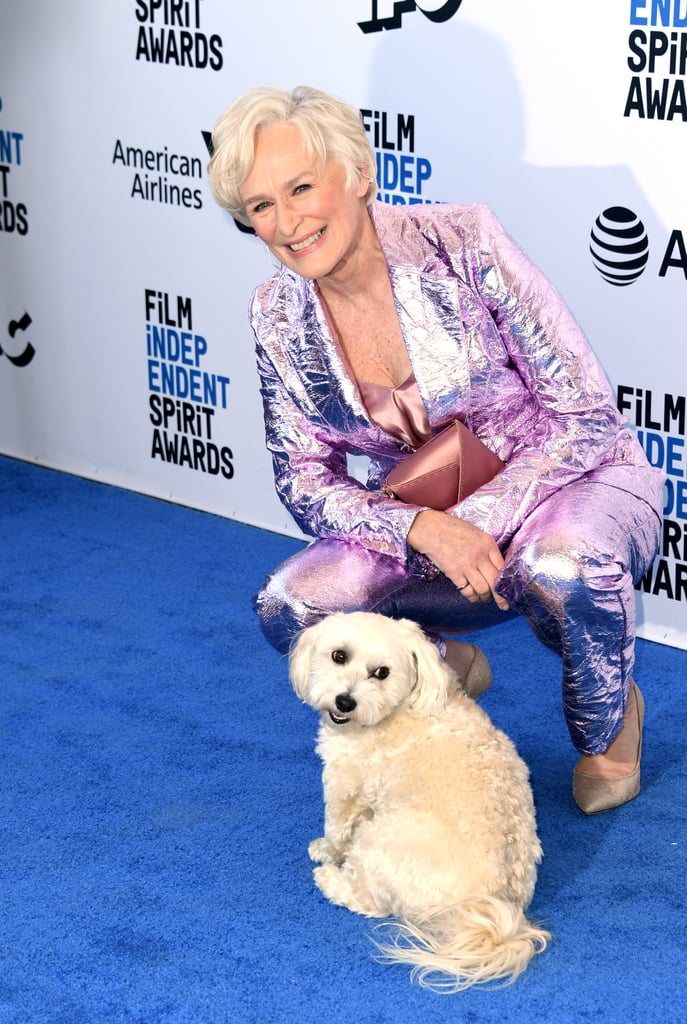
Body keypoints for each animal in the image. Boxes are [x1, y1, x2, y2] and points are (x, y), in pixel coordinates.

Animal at [286, 610, 552, 987]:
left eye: (381, 673)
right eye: (339, 655)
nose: (345, 702)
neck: (399, 707)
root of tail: (480, 911)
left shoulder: (343, 784)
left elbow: (336, 828)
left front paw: (325, 850)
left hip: (382, 837)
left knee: (370, 902)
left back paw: (330, 881)